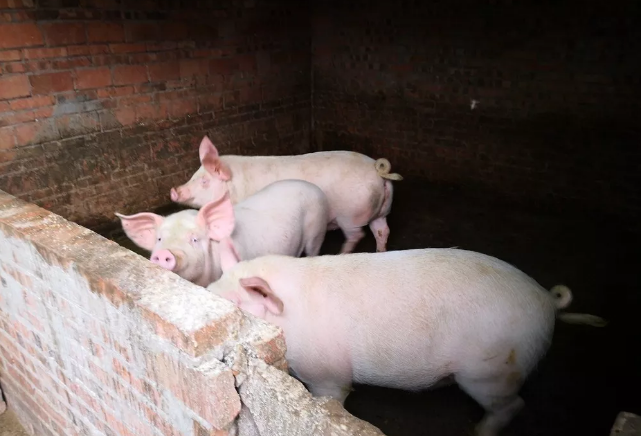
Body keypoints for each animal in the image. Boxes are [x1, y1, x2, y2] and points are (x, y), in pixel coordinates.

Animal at [170, 135, 400, 252]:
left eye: (205, 181)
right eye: (194, 175)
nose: (174, 190)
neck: (234, 186)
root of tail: (378, 171)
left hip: (350, 215)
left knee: (358, 235)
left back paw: (342, 252)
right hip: (381, 212)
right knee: (382, 231)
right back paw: (381, 252)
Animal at [208, 249, 608, 436]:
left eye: (236, 304)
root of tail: (547, 301)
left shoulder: (327, 373)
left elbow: (331, 399)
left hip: (491, 370)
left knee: (513, 405)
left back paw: (477, 431)